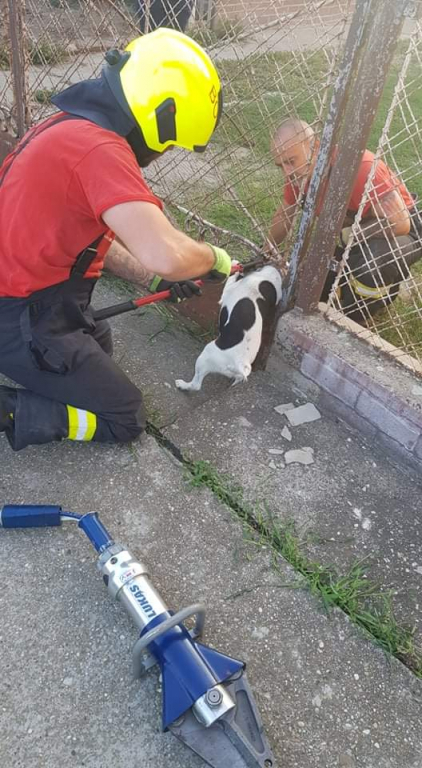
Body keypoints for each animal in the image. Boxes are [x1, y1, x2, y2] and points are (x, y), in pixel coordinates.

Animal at [176, 266, 282, 396]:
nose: (272, 267)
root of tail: (238, 363)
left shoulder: (227, 290)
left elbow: (230, 278)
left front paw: (234, 266)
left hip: (205, 357)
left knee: (196, 384)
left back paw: (182, 384)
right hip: (236, 374)